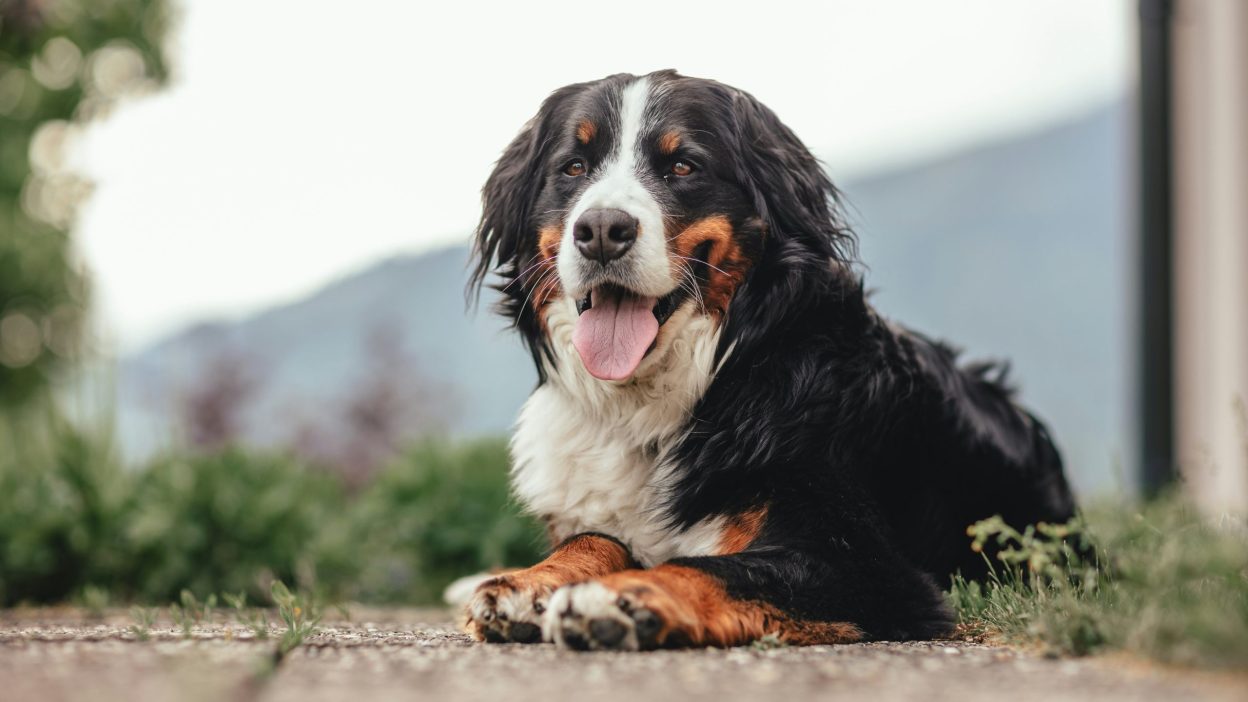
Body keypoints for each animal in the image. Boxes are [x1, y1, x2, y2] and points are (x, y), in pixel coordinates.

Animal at [464, 68, 1078, 649]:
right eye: (573, 167)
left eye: (683, 166)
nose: (600, 230)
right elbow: (594, 536)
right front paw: (529, 583)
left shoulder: (868, 567)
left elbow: (707, 566)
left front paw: (615, 599)